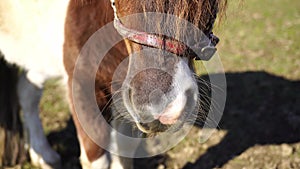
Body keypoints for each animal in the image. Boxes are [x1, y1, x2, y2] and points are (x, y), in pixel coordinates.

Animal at [0, 0, 225, 168]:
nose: (165, 106)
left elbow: (124, 150)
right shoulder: (82, 85)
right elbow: (96, 157)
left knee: (27, 93)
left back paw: (44, 156)